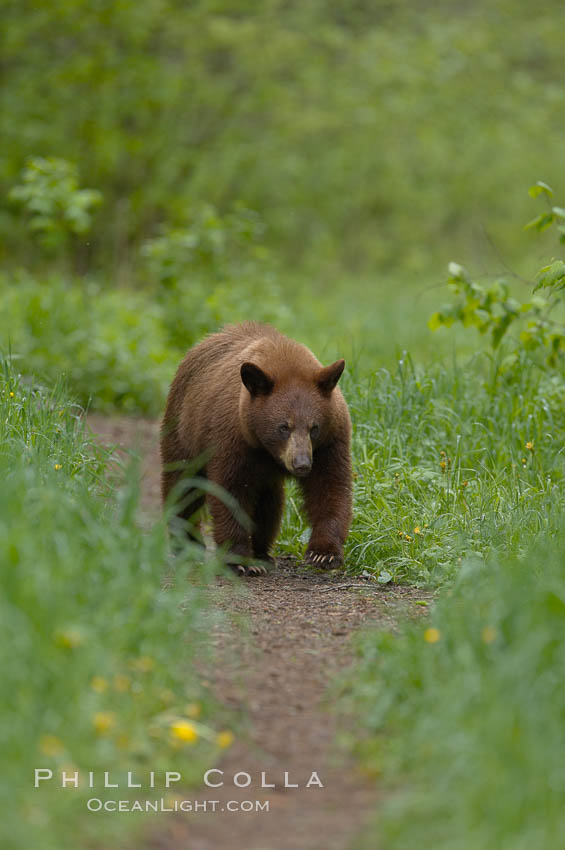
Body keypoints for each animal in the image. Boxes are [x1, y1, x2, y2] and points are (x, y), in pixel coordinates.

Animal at [161, 322, 350, 572]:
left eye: (314, 427)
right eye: (283, 427)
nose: (301, 464)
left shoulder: (330, 441)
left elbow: (330, 486)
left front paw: (324, 553)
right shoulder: (232, 438)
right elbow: (230, 491)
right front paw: (239, 561)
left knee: (269, 503)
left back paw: (262, 553)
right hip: (183, 431)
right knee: (182, 484)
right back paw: (187, 544)